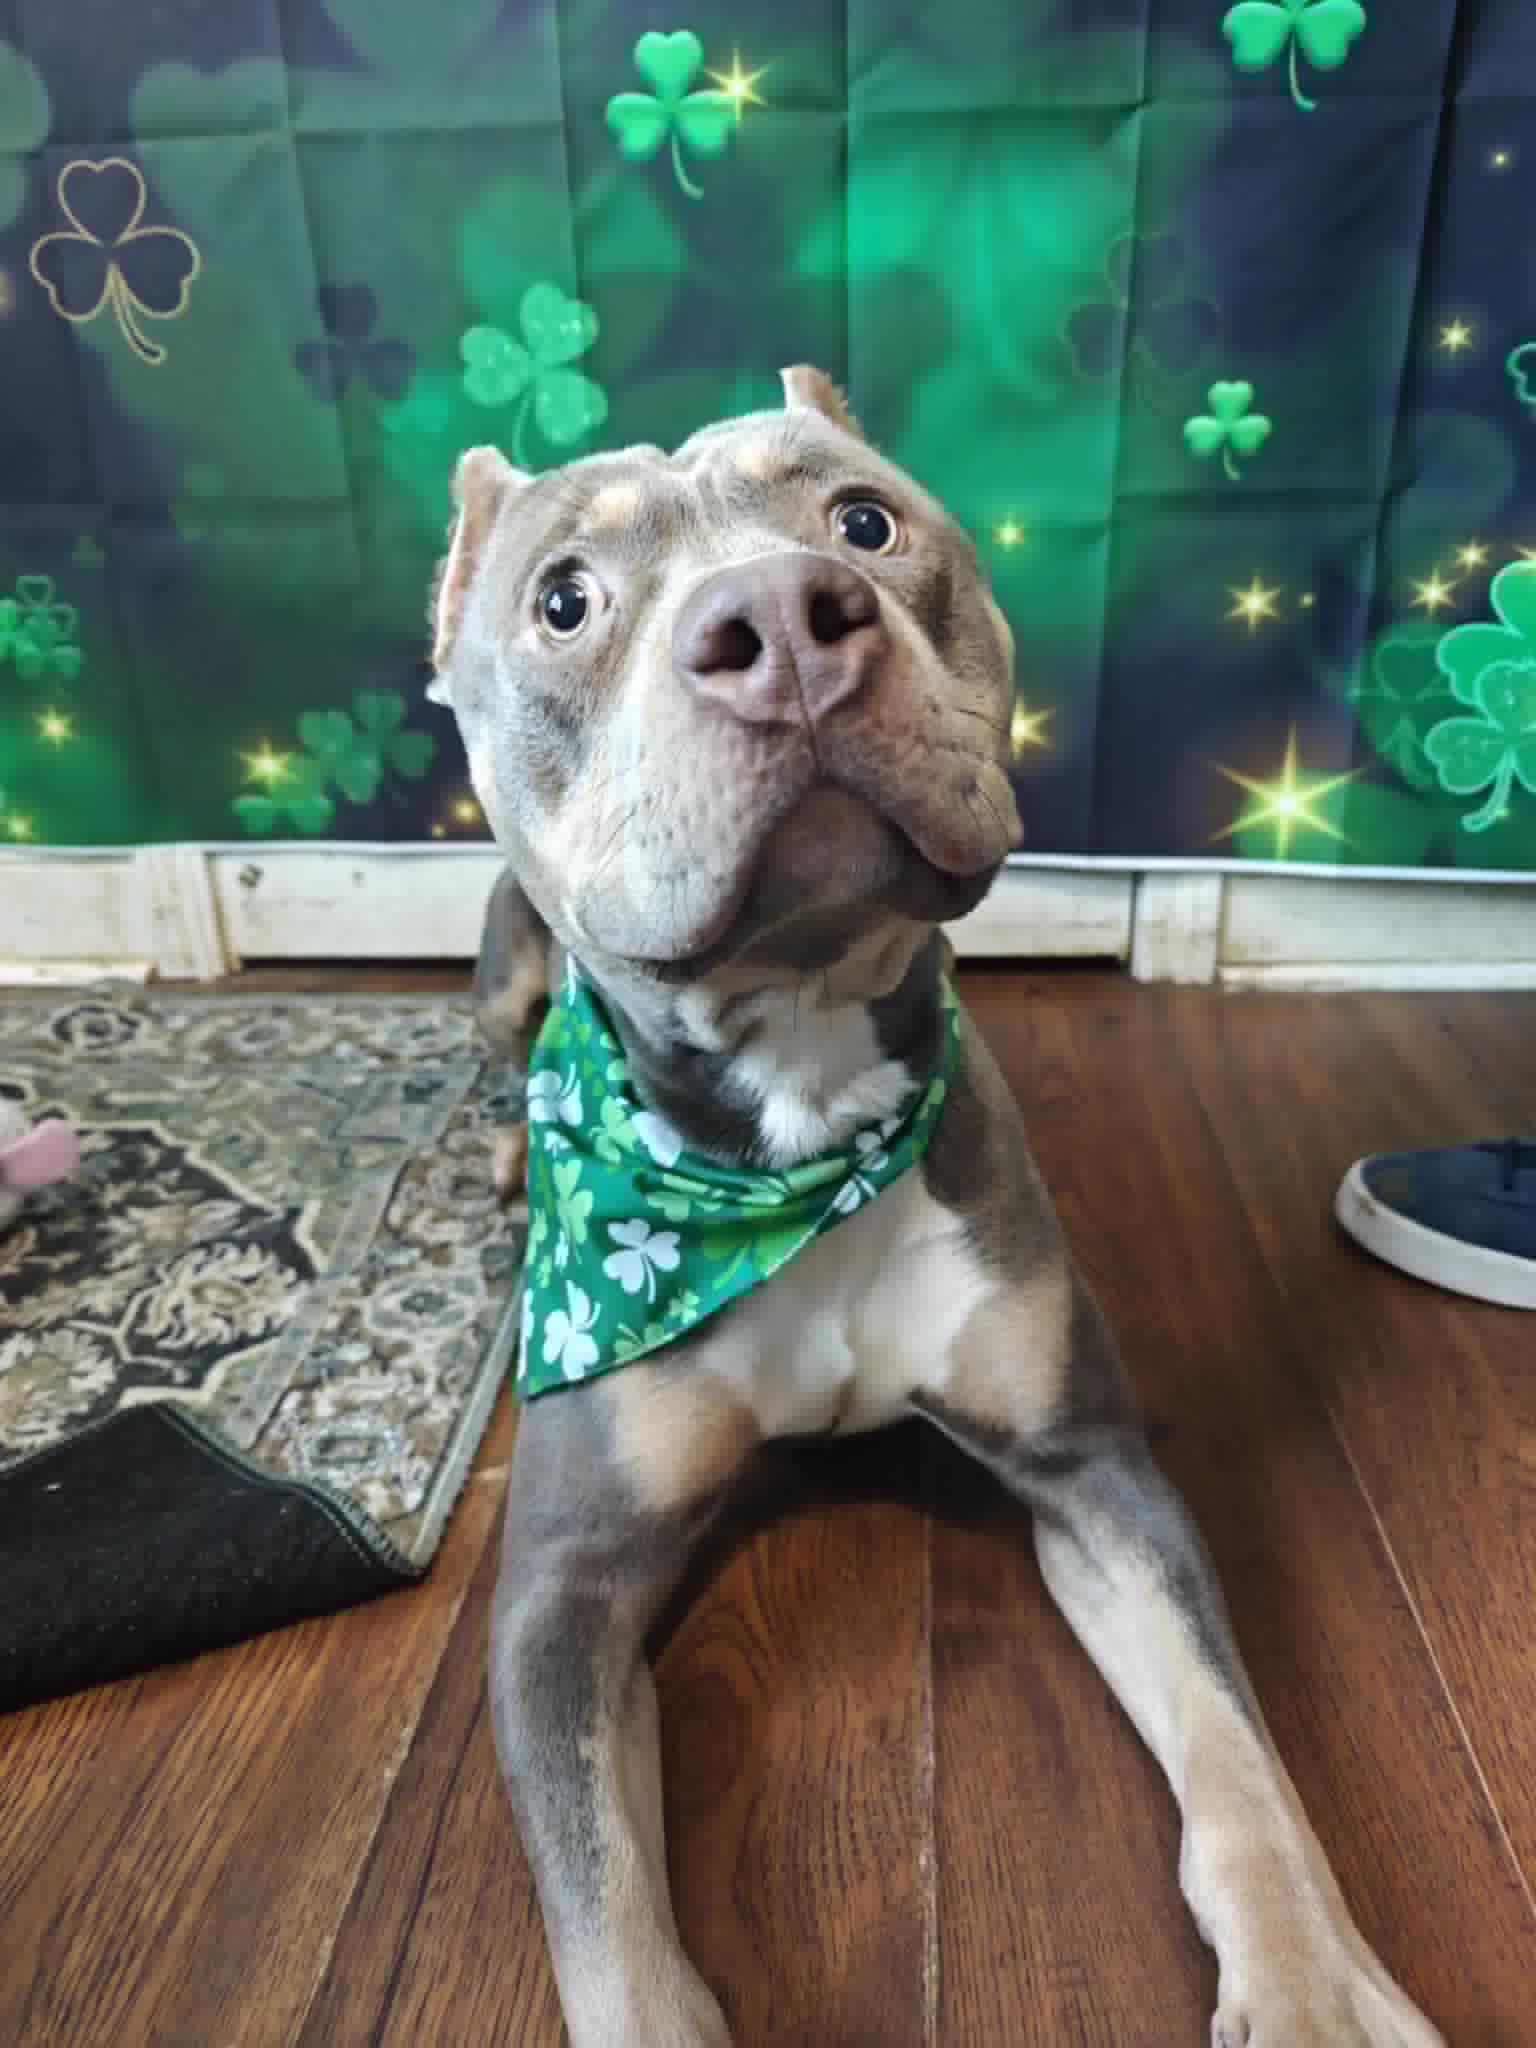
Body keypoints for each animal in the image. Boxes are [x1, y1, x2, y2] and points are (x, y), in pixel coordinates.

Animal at [429, 368, 1443, 2047]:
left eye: (864, 521)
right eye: (564, 600)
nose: (778, 616)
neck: (795, 1110)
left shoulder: (1093, 1471)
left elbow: (1236, 1757)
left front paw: (1311, 1986)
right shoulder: (562, 1596)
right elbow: (612, 1925)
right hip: (507, 955)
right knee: (500, 1042)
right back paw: (509, 1149)